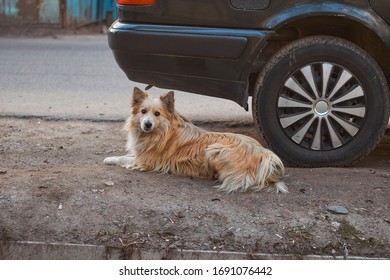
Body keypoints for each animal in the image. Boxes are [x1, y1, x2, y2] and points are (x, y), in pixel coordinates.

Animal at [103, 87, 286, 192]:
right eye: (143, 111)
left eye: (157, 114)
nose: (147, 124)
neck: (160, 132)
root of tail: (264, 154)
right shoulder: (141, 154)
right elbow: (124, 155)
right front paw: (110, 158)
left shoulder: (146, 161)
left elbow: (125, 159)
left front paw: (116, 161)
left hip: (215, 149)